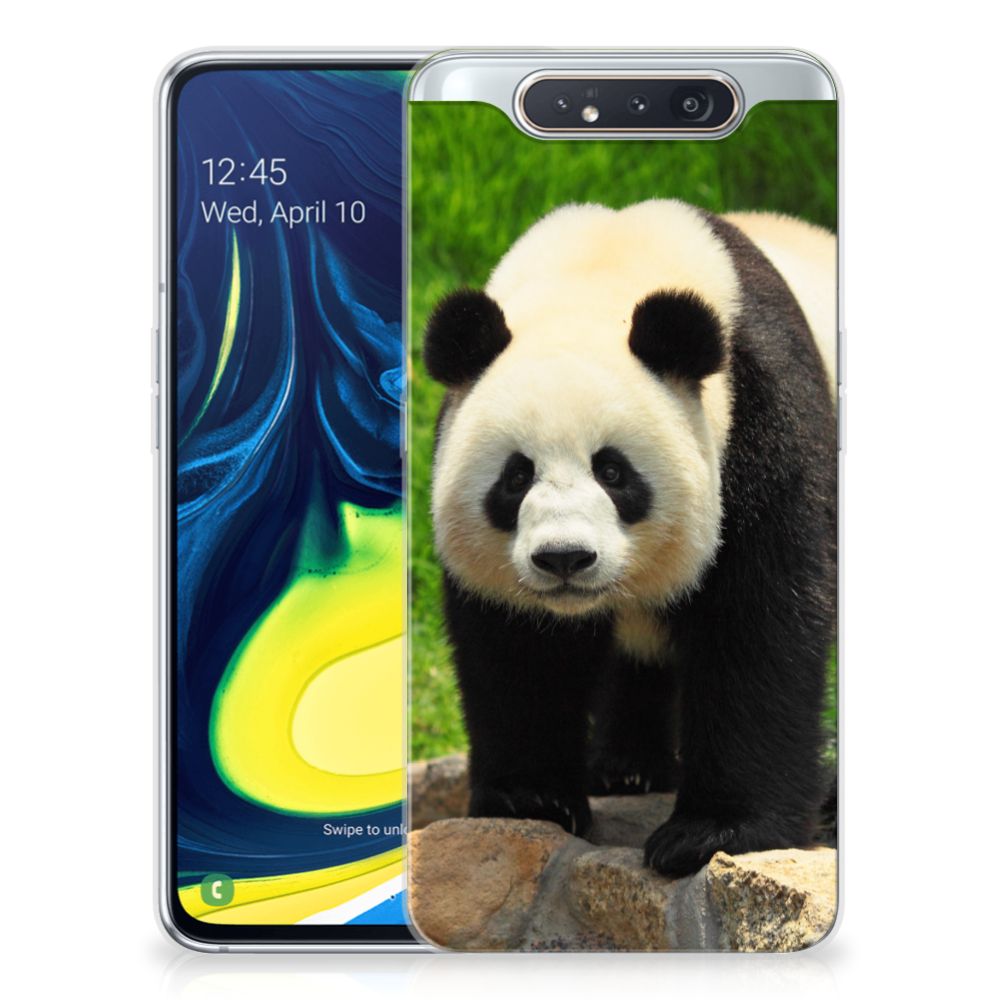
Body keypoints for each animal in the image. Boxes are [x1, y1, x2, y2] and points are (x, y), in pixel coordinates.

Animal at [422, 199, 837, 877]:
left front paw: (712, 832)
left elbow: (761, 622)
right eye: (516, 476)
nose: (564, 558)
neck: (601, 270)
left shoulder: (763, 420)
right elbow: (519, 647)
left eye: (613, 472)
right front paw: (531, 798)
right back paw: (626, 768)